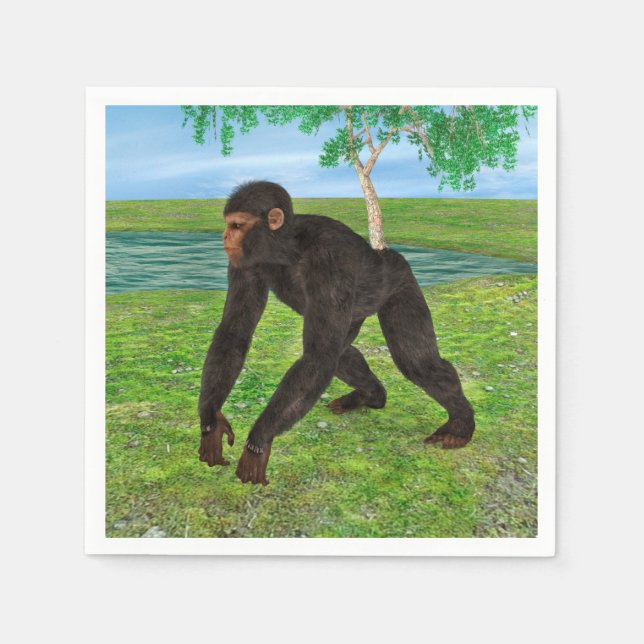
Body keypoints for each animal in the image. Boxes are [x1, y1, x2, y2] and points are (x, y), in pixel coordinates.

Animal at [198, 180, 475, 485]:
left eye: (237, 225)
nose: (225, 236)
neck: (286, 248)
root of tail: (386, 252)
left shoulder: (329, 264)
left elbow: (318, 356)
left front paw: (258, 442)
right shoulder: (244, 264)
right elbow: (235, 332)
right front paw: (211, 423)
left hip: (400, 281)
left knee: (417, 362)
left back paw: (461, 424)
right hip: (357, 313)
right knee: (341, 354)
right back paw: (372, 395)